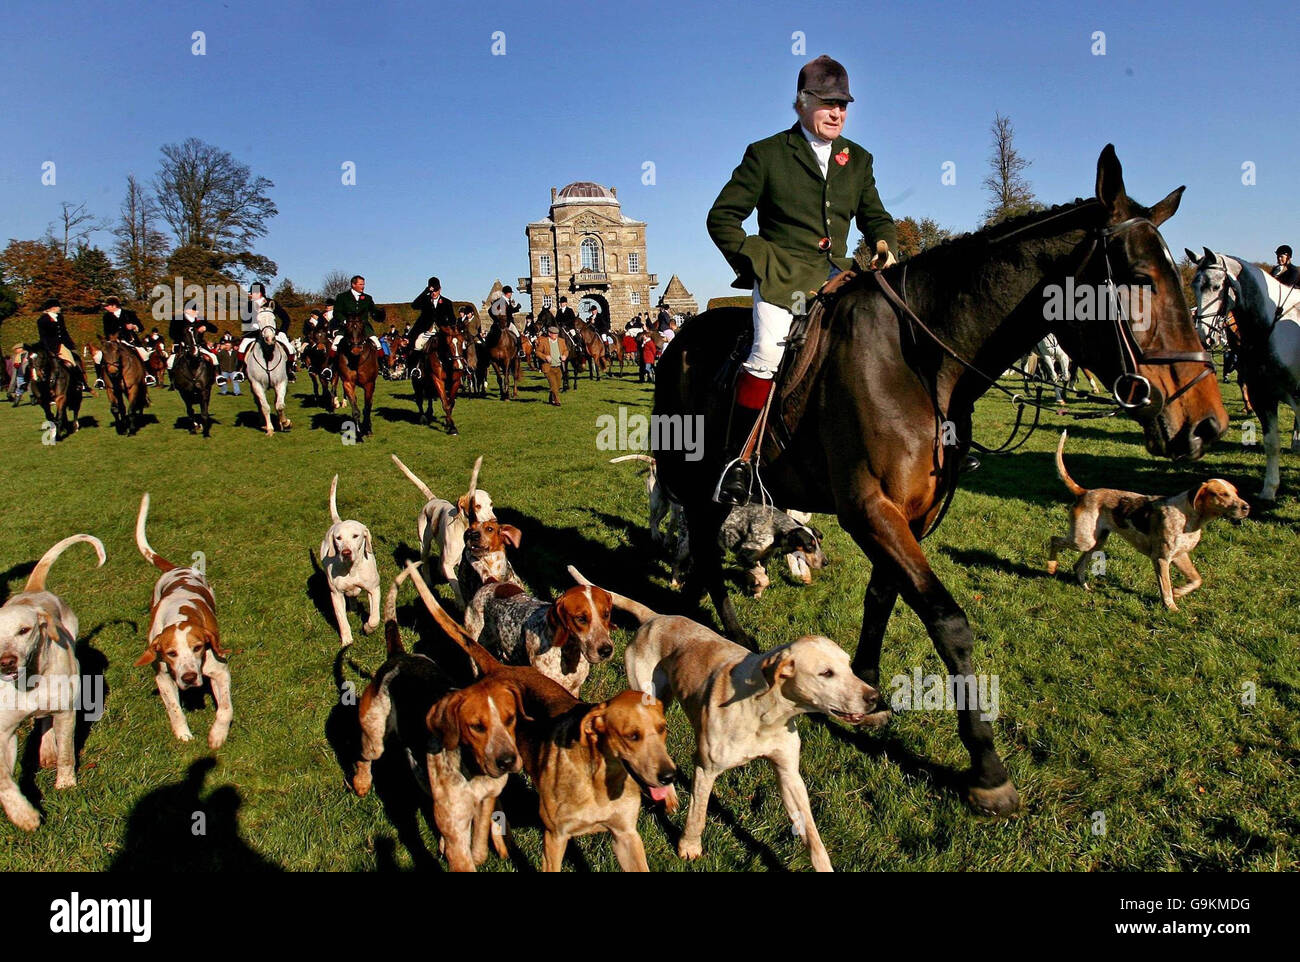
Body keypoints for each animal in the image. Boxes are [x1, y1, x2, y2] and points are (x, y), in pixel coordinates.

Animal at [660, 146, 1227, 816]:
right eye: (1140, 280)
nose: (1208, 423)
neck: (917, 362)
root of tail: (681, 337)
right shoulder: (869, 509)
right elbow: (950, 623)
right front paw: (986, 767)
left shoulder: (908, 516)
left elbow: (882, 598)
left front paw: (865, 691)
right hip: (695, 480)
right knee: (699, 547)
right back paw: (721, 629)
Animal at [1190, 249, 1300, 496]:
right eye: (1194, 286)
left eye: (1215, 286)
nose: (1203, 337)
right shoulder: (1263, 396)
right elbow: (1271, 443)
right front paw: (1269, 489)